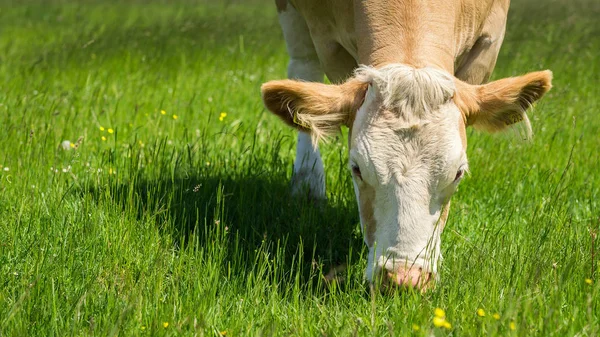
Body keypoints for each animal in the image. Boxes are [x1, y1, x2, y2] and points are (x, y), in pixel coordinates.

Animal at [262, 0, 552, 288]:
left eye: (458, 173)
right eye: (357, 169)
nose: (404, 279)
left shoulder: (489, 40)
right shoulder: (327, 40)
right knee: (303, 68)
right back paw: (307, 181)